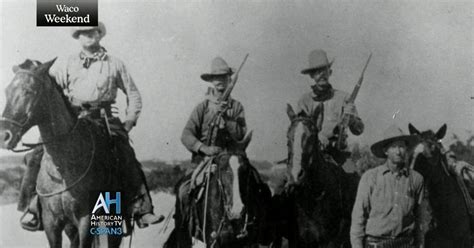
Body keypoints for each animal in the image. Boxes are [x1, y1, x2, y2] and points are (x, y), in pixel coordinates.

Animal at [0, 59, 126, 247]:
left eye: (29, 91)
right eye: (7, 91)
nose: (3, 136)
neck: (63, 168)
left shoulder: (85, 220)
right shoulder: (51, 223)